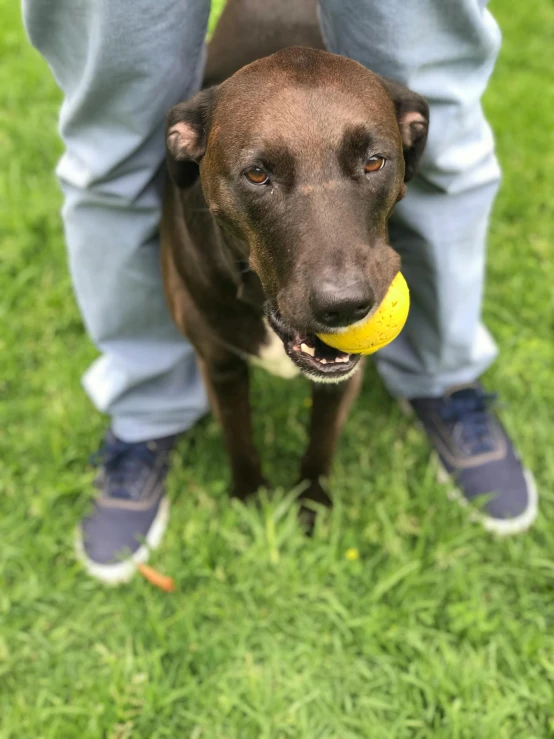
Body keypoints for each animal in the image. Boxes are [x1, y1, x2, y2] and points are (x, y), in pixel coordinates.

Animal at [160, 0, 426, 512]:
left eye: (374, 162)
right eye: (257, 174)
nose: (345, 306)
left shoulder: (342, 381)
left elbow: (320, 443)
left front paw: (312, 508)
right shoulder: (219, 366)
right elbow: (239, 443)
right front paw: (250, 506)